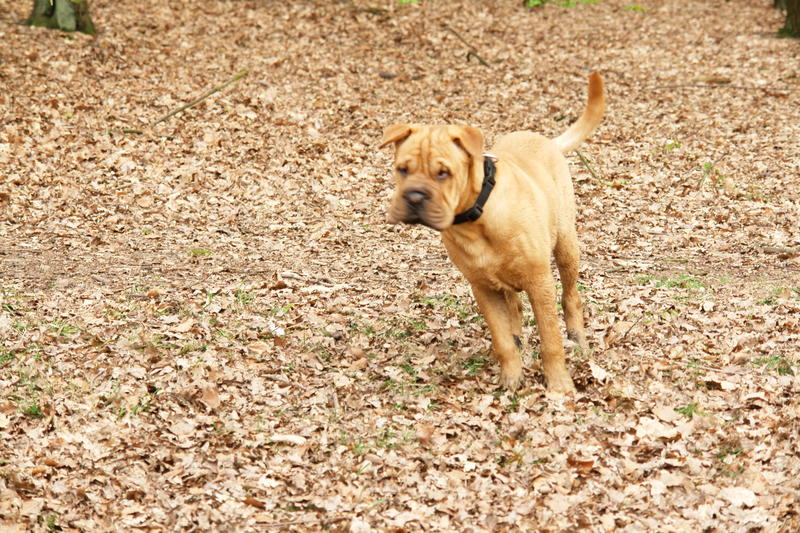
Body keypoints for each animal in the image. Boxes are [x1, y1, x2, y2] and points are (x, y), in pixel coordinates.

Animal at [382, 74, 608, 390]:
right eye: (402, 169)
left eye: (443, 173)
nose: (414, 197)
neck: (476, 219)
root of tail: (545, 140)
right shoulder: (483, 288)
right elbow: (502, 341)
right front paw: (511, 377)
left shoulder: (540, 282)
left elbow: (550, 337)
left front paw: (558, 383)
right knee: (514, 310)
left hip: (566, 247)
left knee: (571, 296)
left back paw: (578, 338)